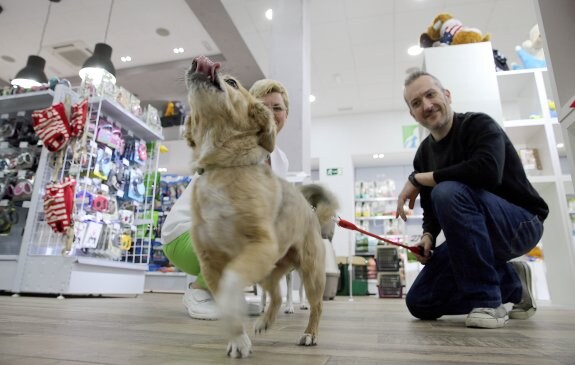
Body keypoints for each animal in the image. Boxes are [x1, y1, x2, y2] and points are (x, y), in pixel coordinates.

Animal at [184, 55, 340, 356]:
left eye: (232, 82)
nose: (199, 61)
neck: (223, 168)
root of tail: (312, 215)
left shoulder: (259, 247)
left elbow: (232, 284)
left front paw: (236, 315)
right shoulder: (210, 262)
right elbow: (225, 297)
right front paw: (238, 339)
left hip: (310, 273)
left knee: (316, 305)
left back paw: (310, 334)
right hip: (270, 270)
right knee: (277, 296)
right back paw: (266, 321)